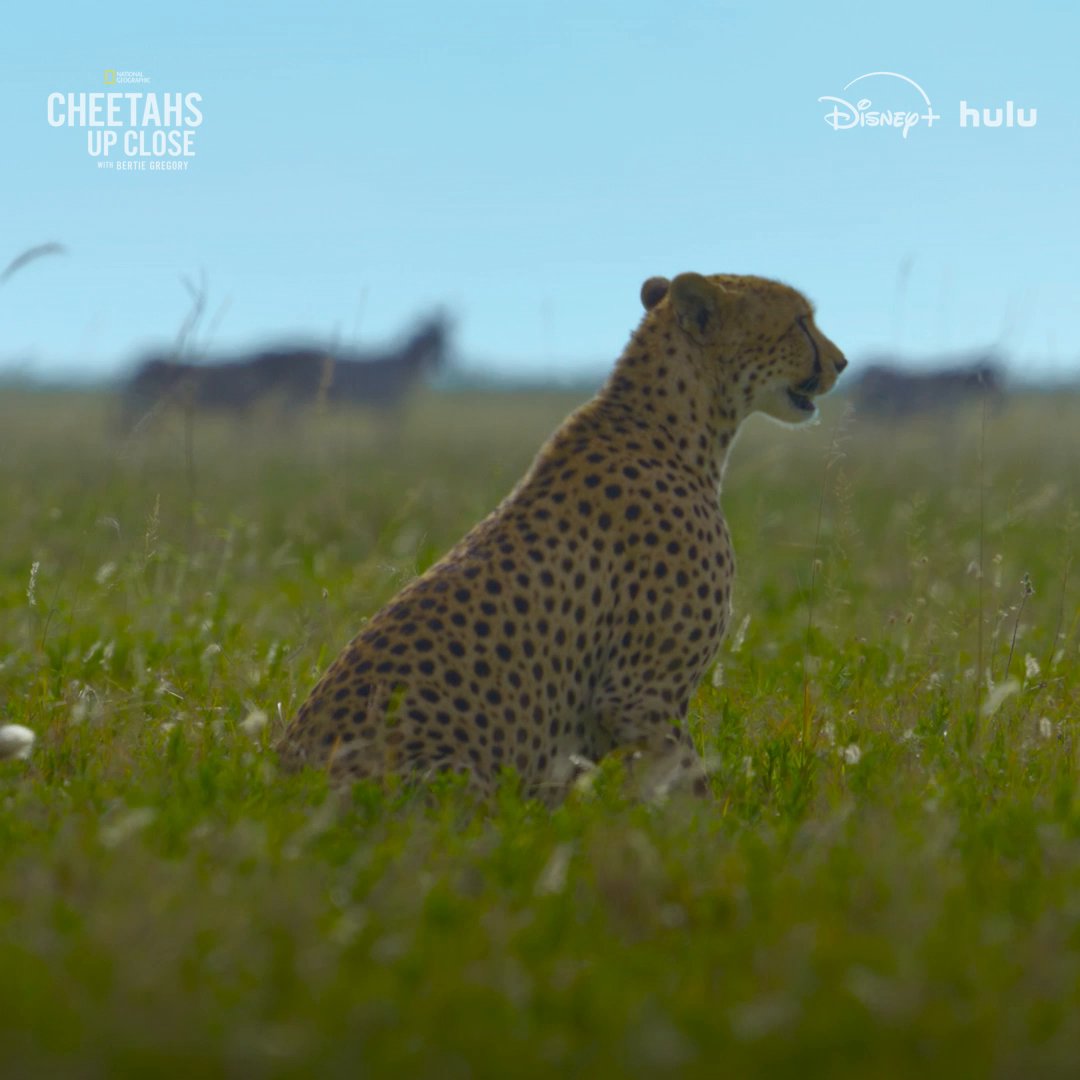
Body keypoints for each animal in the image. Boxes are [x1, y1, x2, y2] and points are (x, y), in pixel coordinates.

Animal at [276, 272, 847, 804]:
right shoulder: (639, 695)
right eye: (801, 321)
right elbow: (692, 796)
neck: (677, 425)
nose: (841, 363)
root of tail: (280, 780)